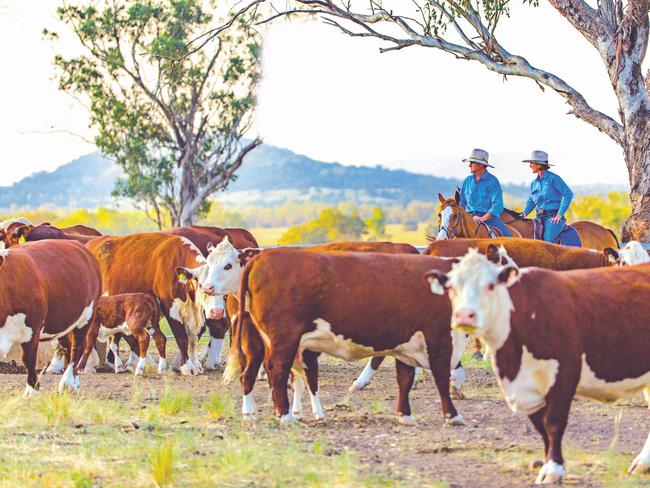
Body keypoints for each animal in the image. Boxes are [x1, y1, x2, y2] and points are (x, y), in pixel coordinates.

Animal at [0, 238, 101, 394]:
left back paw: (68, 382)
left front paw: (32, 391)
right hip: (61, 321)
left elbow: (28, 359)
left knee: (77, 347)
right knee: (67, 346)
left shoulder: (33, 328)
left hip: (87, 316)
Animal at [83, 233, 214, 374]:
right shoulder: (170, 307)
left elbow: (193, 338)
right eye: (201, 285)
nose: (215, 311)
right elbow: (181, 336)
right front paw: (186, 367)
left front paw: (195, 365)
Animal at [213, 246, 466, 426]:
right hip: (283, 340)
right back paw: (284, 416)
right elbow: (441, 376)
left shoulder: (406, 342)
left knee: (251, 373)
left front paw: (405, 415)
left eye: (227, 266)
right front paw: (452, 414)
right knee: (276, 369)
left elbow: (405, 378)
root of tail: (262, 257)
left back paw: (253, 412)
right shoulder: (438, 338)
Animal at [426, 250, 648, 486]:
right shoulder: (526, 388)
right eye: (451, 287)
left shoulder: (564, 374)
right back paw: (642, 463)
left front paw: (553, 470)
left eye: (490, 285)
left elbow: (554, 422)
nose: (464, 315)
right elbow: (541, 427)